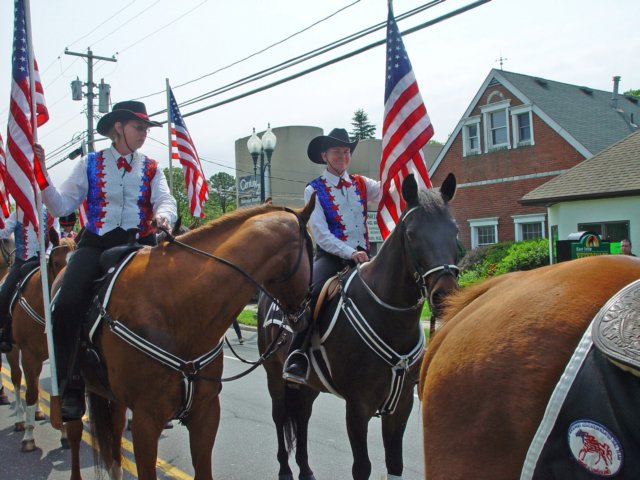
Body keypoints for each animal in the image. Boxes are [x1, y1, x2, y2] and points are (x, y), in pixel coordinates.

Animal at [256, 174, 460, 478]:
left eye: (455, 230)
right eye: (412, 234)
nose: (444, 294)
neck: (388, 317)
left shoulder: (402, 405)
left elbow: (395, 464)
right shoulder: (357, 406)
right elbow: (362, 467)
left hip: (310, 385)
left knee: (302, 417)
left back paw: (306, 470)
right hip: (274, 375)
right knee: (280, 417)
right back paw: (285, 470)